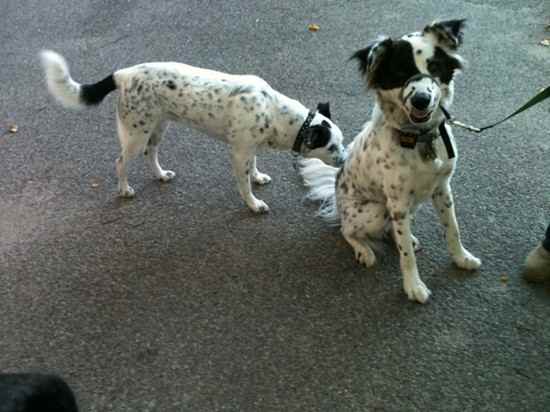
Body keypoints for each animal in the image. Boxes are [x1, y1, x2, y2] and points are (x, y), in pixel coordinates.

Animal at [41, 51, 348, 212]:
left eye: (342, 142)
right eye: (332, 147)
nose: (346, 161)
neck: (273, 110)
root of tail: (123, 74)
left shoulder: (248, 147)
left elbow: (254, 167)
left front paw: (258, 177)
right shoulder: (239, 153)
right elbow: (243, 184)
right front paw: (253, 203)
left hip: (158, 127)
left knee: (150, 153)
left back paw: (160, 175)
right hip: (136, 133)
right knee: (120, 162)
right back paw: (125, 189)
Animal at [302, 19, 484, 302]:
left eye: (434, 67)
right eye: (400, 72)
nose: (421, 99)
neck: (418, 138)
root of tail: (336, 197)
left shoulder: (443, 189)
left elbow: (452, 229)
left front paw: (462, 258)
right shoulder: (397, 203)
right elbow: (405, 255)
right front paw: (413, 286)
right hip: (376, 210)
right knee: (347, 230)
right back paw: (364, 250)